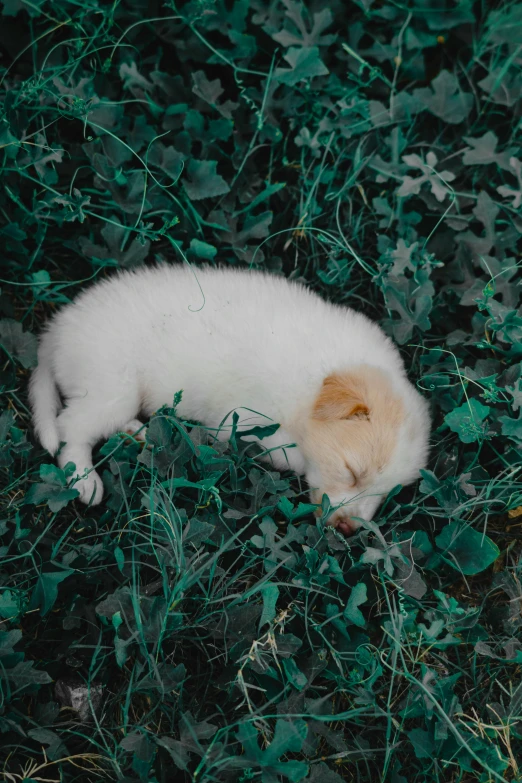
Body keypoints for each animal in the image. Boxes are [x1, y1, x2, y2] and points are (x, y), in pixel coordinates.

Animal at [28, 266, 428, 536]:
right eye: (351, 472)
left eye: (387, 493)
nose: (347, 530)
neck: (314, 380)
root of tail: (54, 334)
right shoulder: (242, 419)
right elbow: (286, 452)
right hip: (112, 386)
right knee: (70, 427)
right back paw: (83, 479)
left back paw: (140, 435)